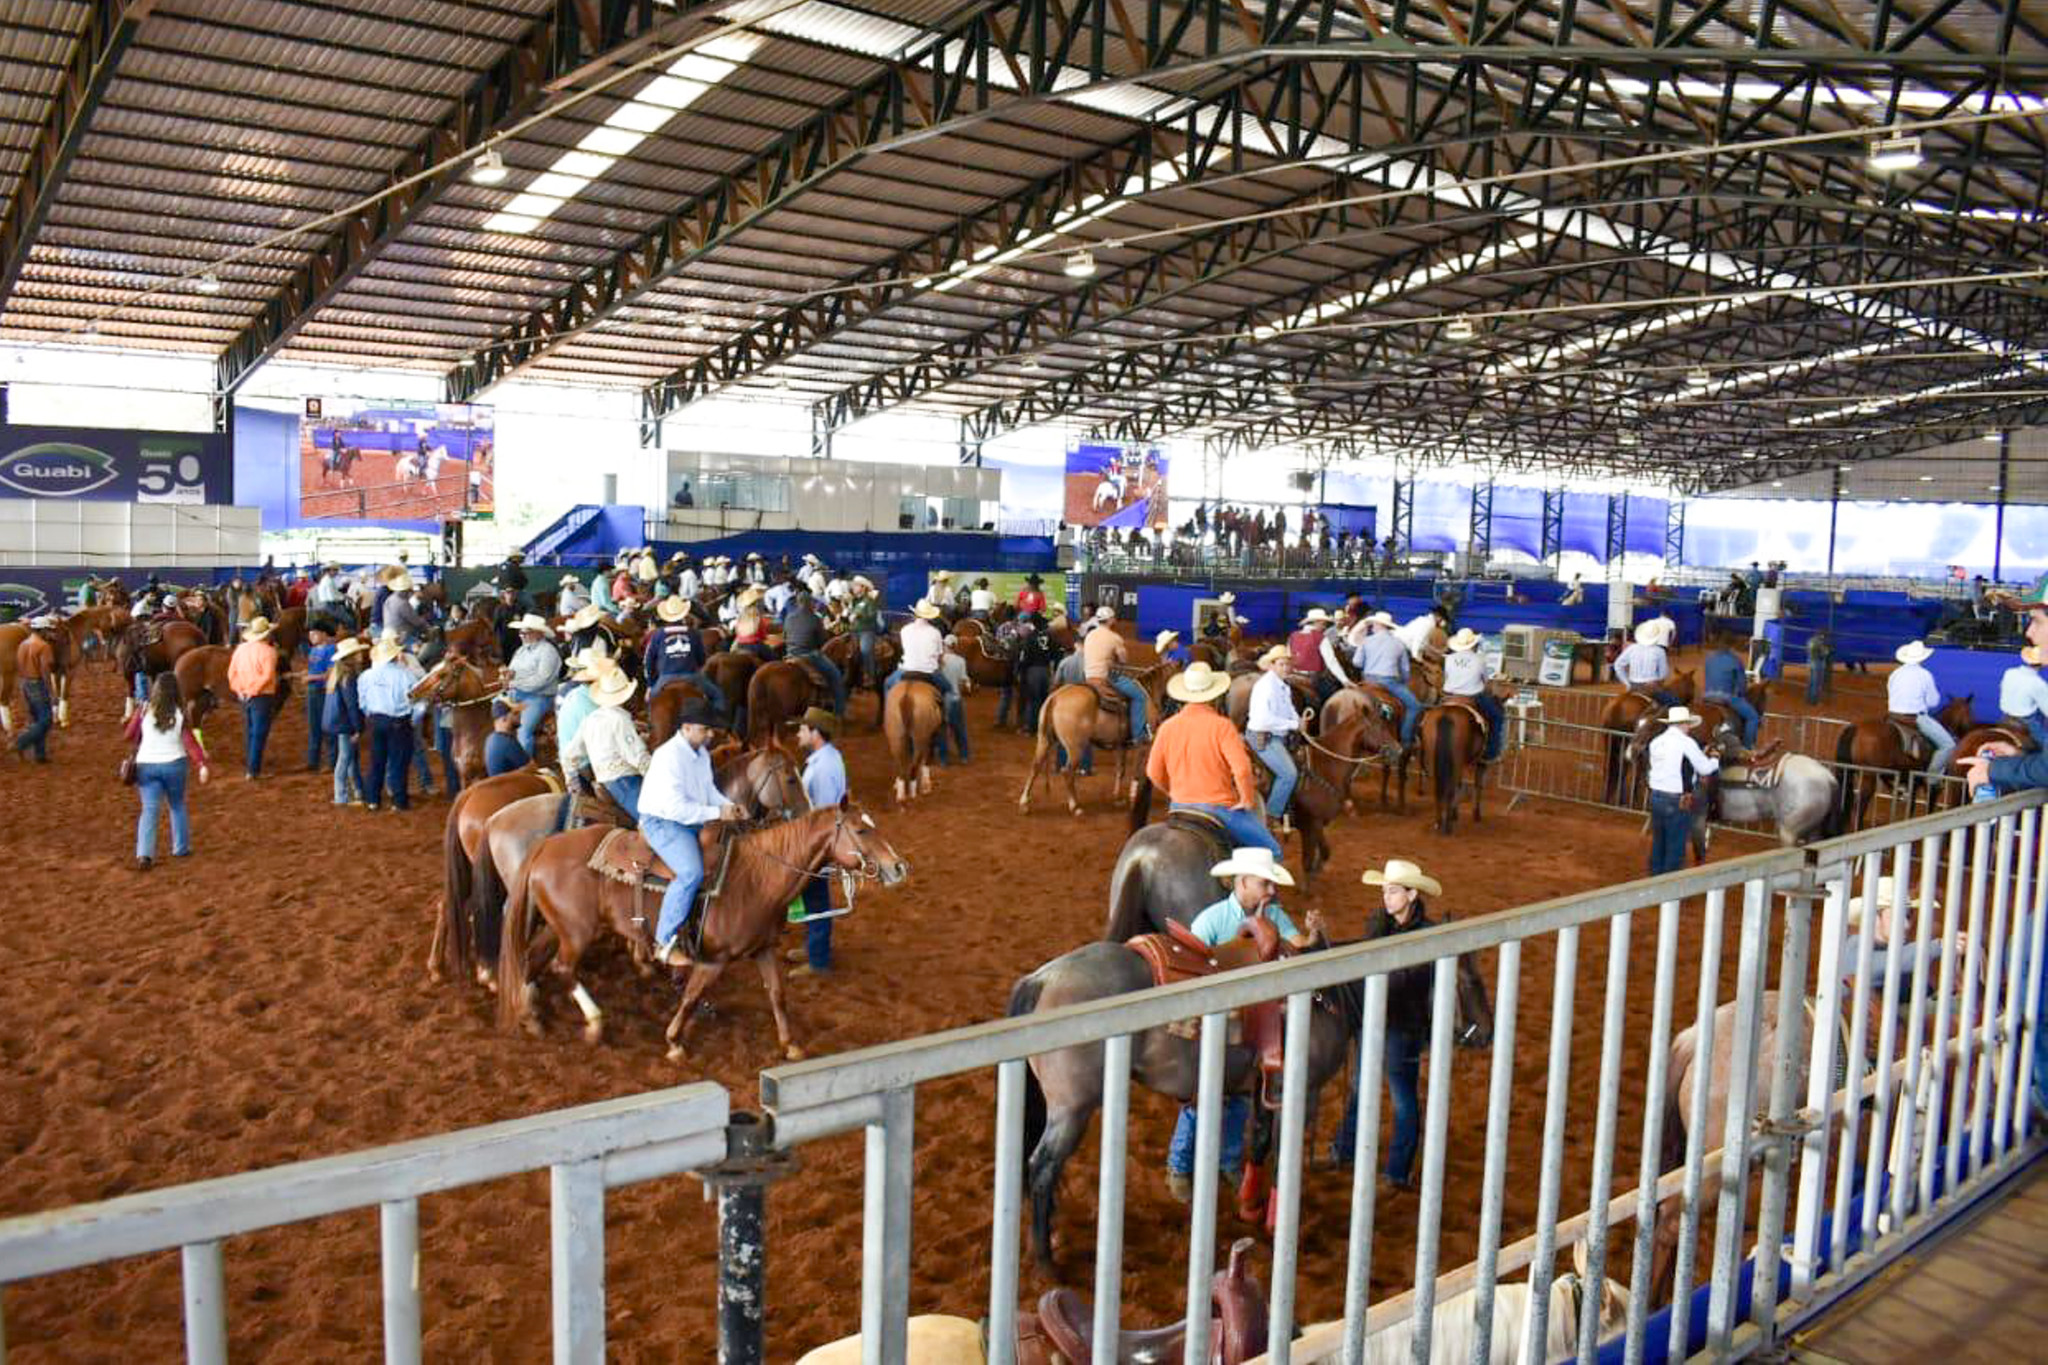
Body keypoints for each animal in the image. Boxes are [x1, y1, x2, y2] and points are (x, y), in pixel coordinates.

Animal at [495, 806, 905, 1064]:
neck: (755, 878)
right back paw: (593, 1022)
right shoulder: (713, 961)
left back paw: (529, 1015)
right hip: (578, 932)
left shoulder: (764, 949)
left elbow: (777, 994)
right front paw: (675, 1042)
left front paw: (790, 1045)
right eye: (862, 830)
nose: (898, 866)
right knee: (563, 969)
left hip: (558, 927)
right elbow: (692, 996)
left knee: (532, 960)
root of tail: (546, 845)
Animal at [1007, 945, 1359, 1277]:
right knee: (1042, 1167)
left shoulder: (1267, 1090)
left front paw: (1249, 1207)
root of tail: (1041, 979)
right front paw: (1276, 1225)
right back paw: (1046, 1260)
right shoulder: (1303, 1092)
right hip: (1073, 1110)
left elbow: (1259, 1143)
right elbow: (1282, 1159)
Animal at [1425, 699, 1490, 839]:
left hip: (1433, 758)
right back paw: (1447, 827)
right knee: (1450, 789)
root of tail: (1447, 715)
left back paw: (1438, 823)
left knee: (1437, 789)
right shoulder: (1479, 763)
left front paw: (1456, 813)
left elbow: (1461, 784)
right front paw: (1476, 814)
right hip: (1456, 762)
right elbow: (1477, 785)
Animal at [1835, 695, 1974, 834]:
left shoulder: (1913, 782)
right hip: (1869, 777)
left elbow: (1911, 807)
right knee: (1859, 808)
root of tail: (1856, 728)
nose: (1969, 730)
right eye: (1968, 711)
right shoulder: (1928, 785)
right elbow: (1928, 807)